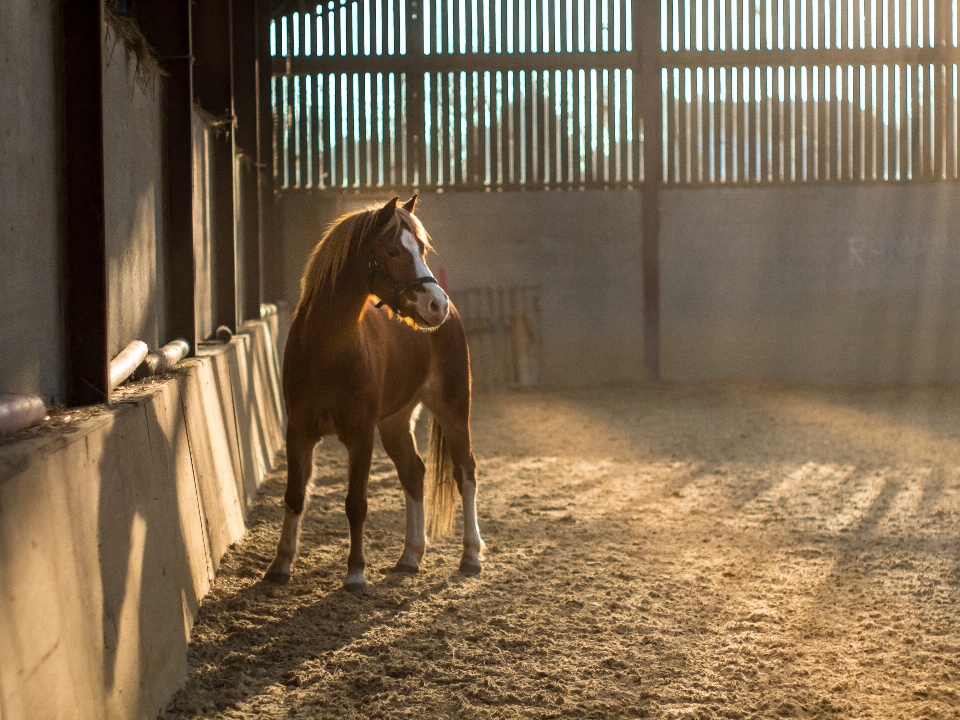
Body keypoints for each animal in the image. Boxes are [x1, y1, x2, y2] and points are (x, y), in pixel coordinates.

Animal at [264, 193, 484, 592]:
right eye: (393, 250)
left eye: (422, 248)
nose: (436, 304)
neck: (327, 348)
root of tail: (454, 316)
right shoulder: (298, 432)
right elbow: (294, 496)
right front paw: (280, 565)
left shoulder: (360, 434)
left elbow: (356, 503)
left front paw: (355, 573)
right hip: (395, 422)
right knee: (414, 473)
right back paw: (410, 556)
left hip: (453, 410)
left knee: (465, 472)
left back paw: (471, 555)